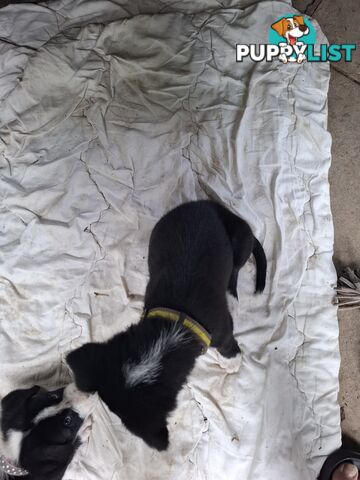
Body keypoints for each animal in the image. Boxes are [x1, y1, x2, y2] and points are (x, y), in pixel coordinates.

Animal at [66, 201, 266, 452]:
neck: (170, 332)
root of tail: (206, 203)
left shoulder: (222, 328)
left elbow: (228, 343)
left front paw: (232, 361)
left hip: (240, 240)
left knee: (235, 269)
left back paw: (233, 296)